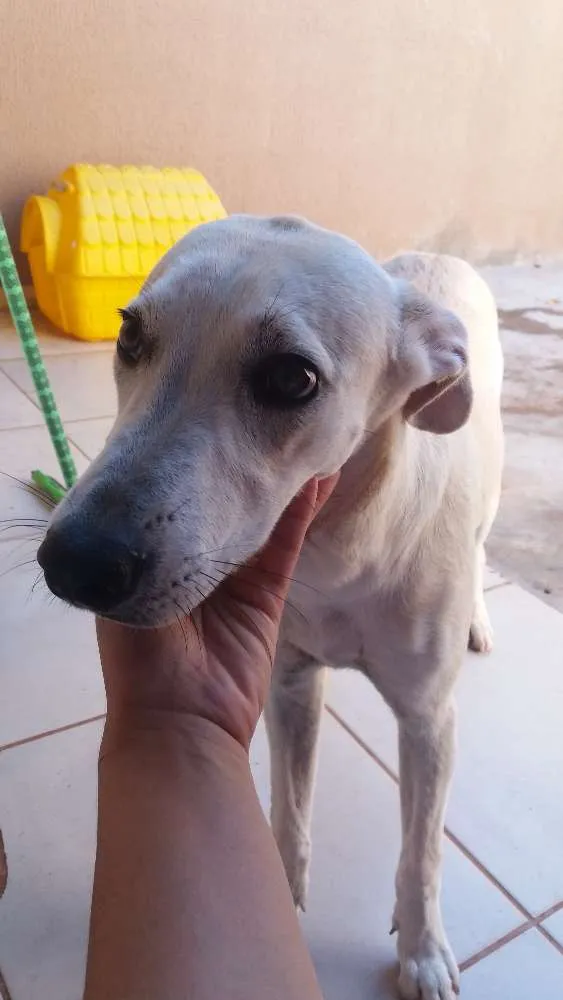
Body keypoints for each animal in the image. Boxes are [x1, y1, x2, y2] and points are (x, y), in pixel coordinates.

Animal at [40, 219, 506, 1000]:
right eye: (129, 335)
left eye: (292, 378)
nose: (74, 562)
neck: (340, 552)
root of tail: (435, 260)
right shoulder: (290, 684)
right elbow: (287, 809)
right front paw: (282, 892)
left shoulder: (428, 721)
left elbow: (422, 854)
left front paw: (422, 950)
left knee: (479, 543)